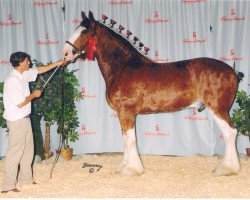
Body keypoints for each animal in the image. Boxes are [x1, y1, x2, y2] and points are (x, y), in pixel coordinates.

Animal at [62, 10, 244, 177]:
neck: (123, 67)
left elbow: (130, 139)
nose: (65, 53)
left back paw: (227, 169)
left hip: (218, 109)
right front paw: (123, 166)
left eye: (84, 32)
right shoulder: (122, 114)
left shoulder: (126, 112)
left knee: (230, 133)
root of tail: (233, 72)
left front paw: (132, 169)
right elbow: (125, 139)